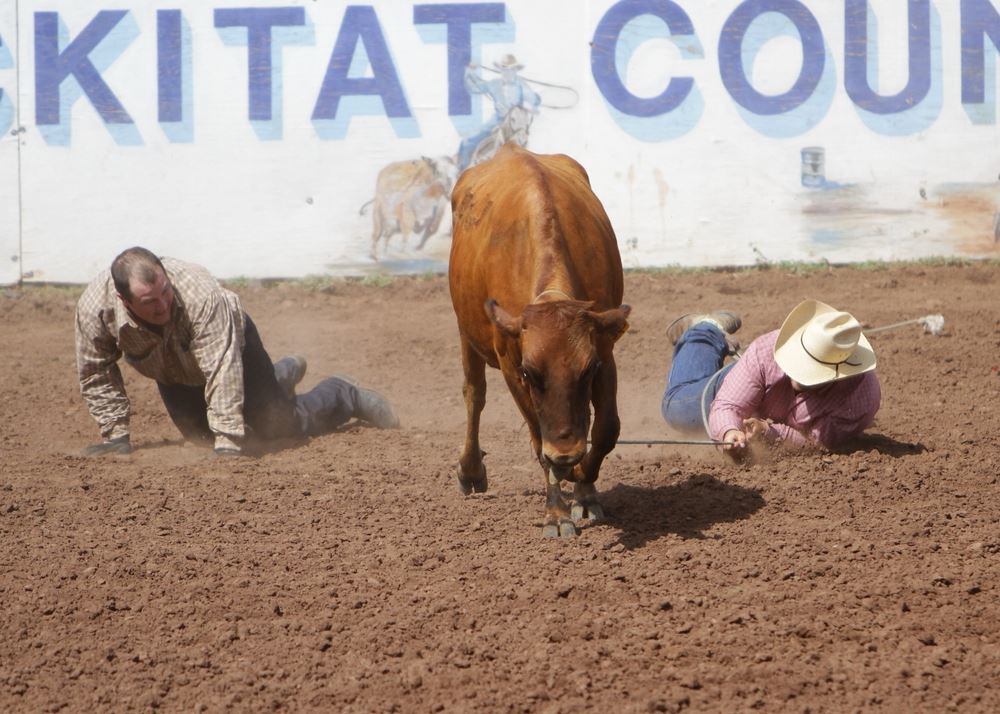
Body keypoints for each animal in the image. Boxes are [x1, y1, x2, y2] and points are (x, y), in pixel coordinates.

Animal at [448, 143, 630, 538]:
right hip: (465, 332)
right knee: (474, 394)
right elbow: (536, 436)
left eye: (587, 370)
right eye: (531, 373)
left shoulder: (604, 349)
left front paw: (584, 488)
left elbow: (606, 428)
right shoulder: (509, 362)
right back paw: (470, 469)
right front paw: (557, 512)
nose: (566, 453)